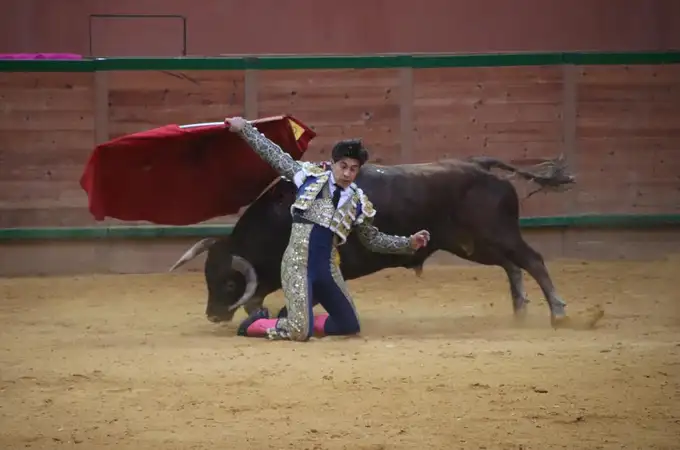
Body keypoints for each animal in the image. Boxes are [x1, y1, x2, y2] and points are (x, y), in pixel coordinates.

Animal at [169, 158, 572, 326]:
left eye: (228, 282)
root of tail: (483, 168)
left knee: (531, 260)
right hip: (472, 244)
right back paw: (520, 312)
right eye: (207, 277)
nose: (213, 315)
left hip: (497, 234)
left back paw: (558, 313)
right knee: (511, 265)